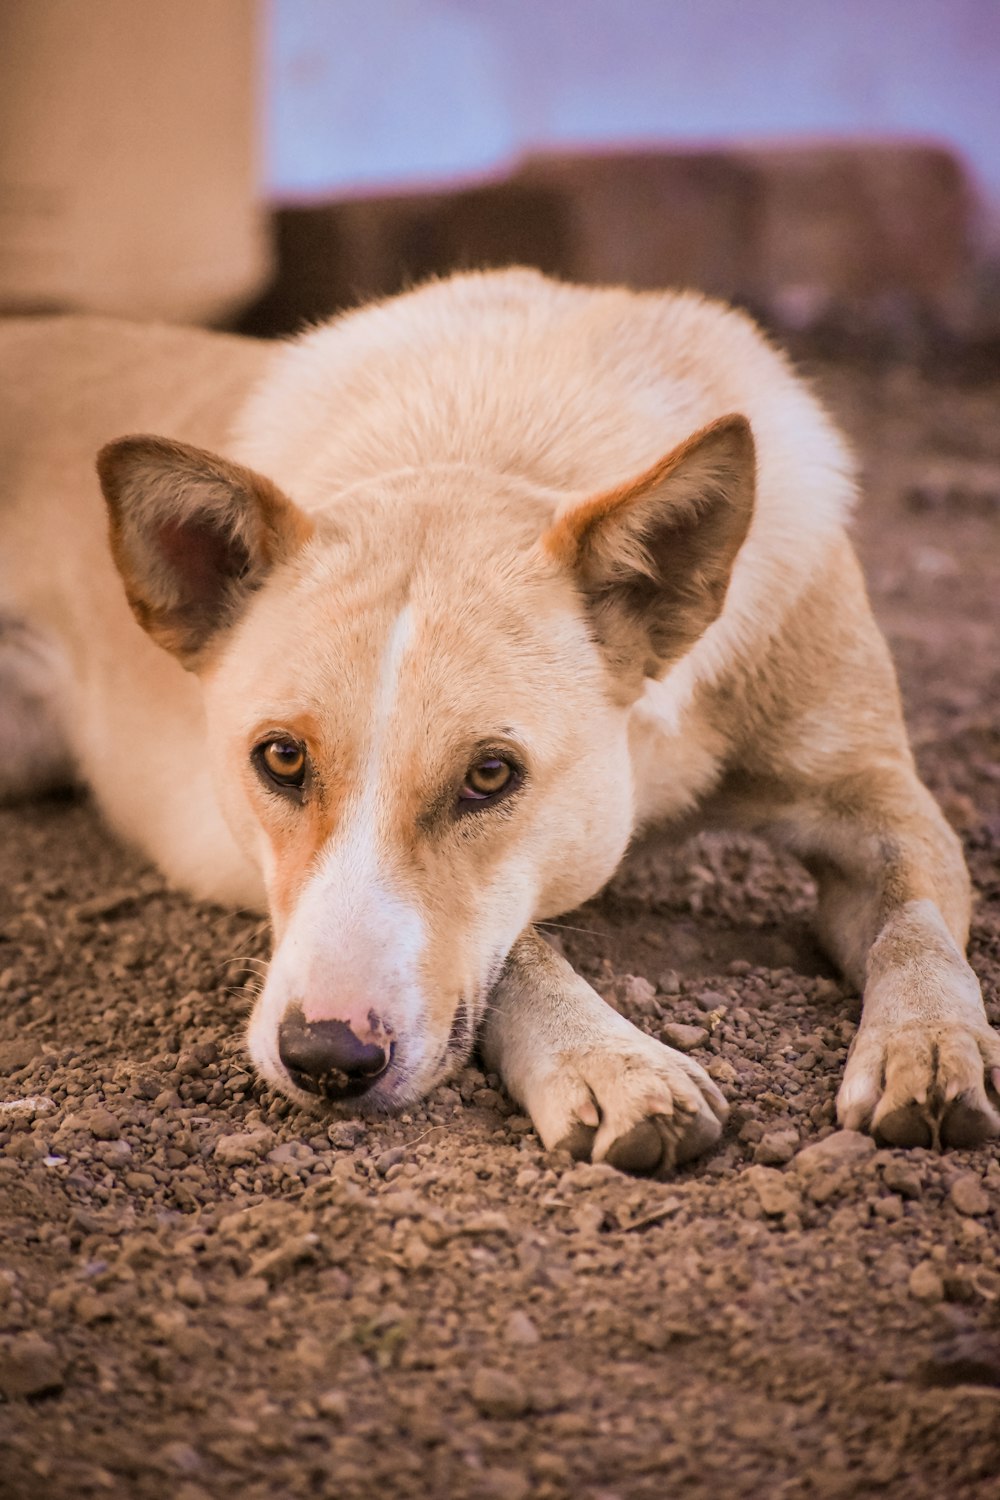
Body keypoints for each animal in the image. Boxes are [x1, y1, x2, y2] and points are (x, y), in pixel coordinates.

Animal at [0, 273, 995, 1170]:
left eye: (489, 776)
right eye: (280, 759)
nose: (324, 1061)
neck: (488, 448)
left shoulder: (878, 792)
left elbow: (917, 926)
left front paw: (931, 1044)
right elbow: (522, 950)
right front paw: (612, 1064)